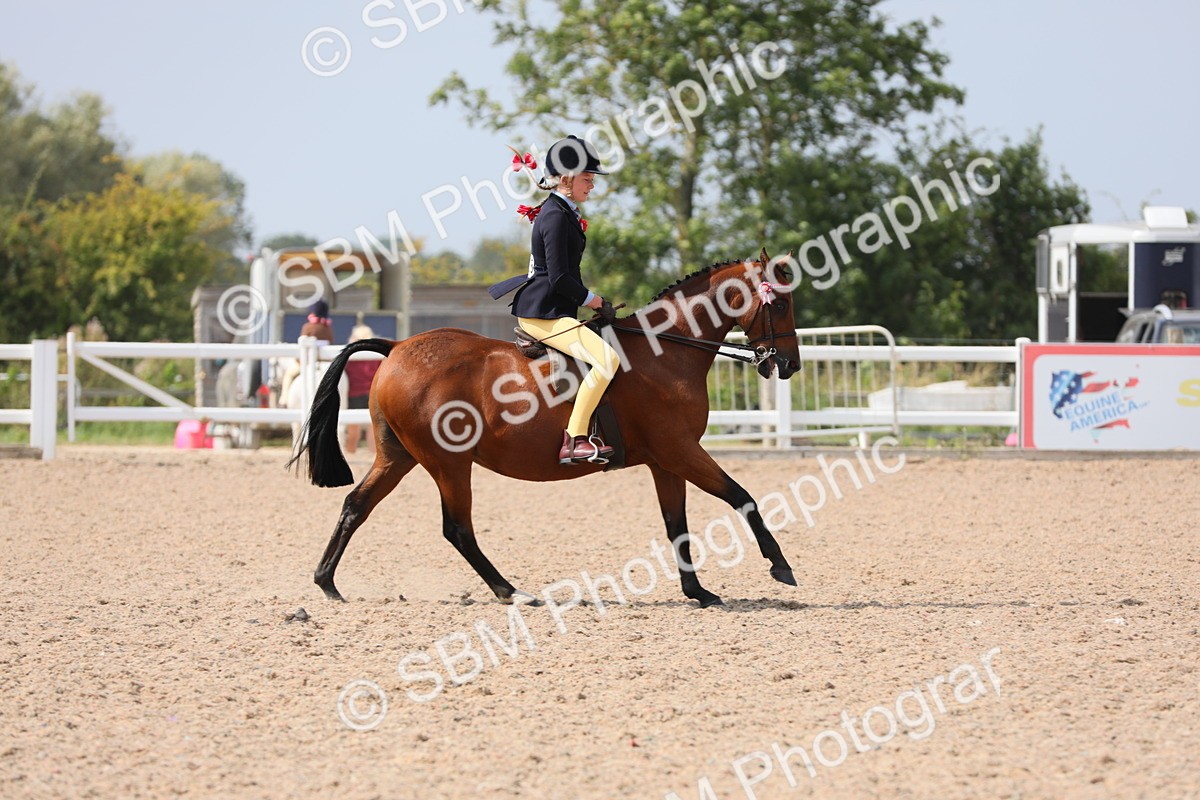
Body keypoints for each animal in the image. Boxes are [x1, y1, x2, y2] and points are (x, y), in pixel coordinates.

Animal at [289, 249, 802, 608]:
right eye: (780, 306)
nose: (789, 365)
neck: (665, 351)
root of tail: (396, 347)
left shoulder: (666, 462)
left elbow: (677, 524)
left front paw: (698, 592)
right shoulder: (681, 451)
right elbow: (742, 497)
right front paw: (780, 566)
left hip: (398, 456)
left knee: (356, 505)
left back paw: (327, 583)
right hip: (447, 462)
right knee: (457, 528)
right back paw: (512, 591)